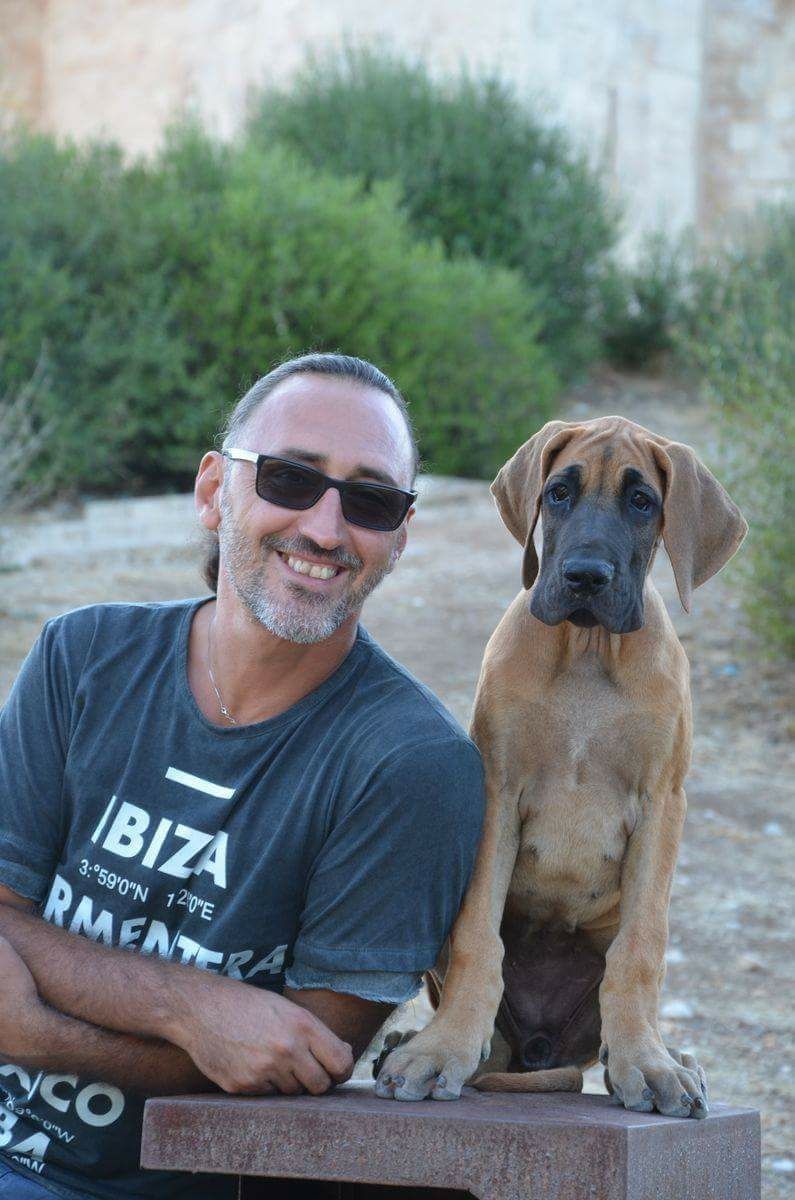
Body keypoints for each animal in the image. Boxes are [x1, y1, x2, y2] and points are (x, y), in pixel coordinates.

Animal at [374, 416, 747, 1118]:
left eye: (642, 502)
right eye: (558, 494)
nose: (585, 577)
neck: (587, 650)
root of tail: (541, 1049)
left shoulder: (663, 802)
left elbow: (641, 949)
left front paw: (646, 1063)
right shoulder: (496, 787)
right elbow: (479, 939)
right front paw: (442, 1049)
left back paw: (673, 1056)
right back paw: (423, 1043)